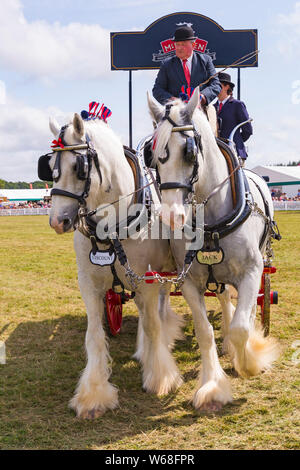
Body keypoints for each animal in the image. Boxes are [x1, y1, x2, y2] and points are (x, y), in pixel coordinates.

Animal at [146, 88, 280, 412]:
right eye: (153, 156)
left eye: (189, 152)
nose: (172, 217)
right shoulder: (189, 281)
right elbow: (205, 331)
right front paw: (212, 386)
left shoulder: (252, 272)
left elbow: (242, 326)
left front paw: (249, 362)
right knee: (222, 296)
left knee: (243, 311)